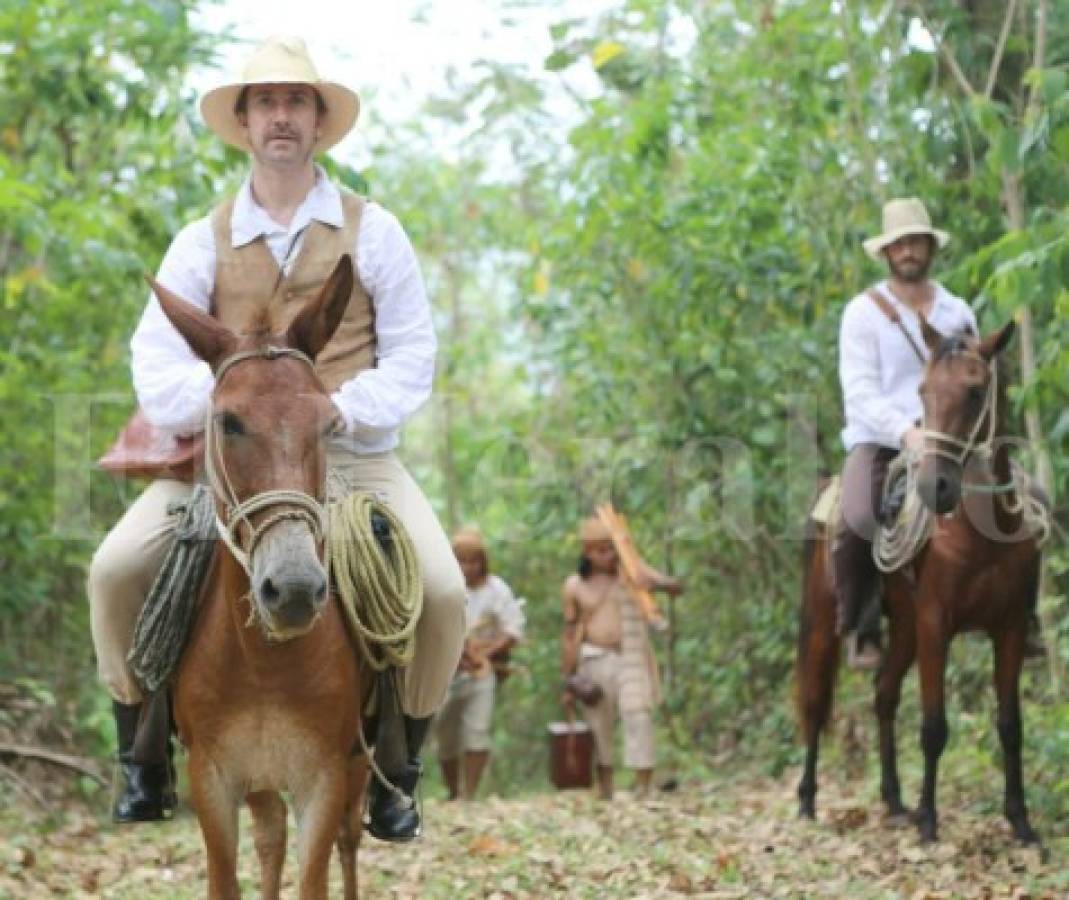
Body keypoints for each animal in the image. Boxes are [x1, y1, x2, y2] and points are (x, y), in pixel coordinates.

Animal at [148, 254, 369, 897]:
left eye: (331, 425)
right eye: (227, 422)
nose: (293, 589)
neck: (264, 663)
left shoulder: (323, 778)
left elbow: (317, 874)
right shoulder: (212, 778)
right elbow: (230, 876)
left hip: (356, 771)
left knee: (349, 841)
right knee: (271, 842)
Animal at [799, 318, 1039, 846]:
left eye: (975, 392)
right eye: (923, 391)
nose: (935, 488)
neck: (982, 536)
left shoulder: (1010, 627)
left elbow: (1011, 725)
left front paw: (1021, 821)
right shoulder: (936, 624)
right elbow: (933, 727)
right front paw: (930, 822)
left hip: (905, 628)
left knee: (884, 693)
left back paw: (894, 801)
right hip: (830, 620)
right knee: (816, 700)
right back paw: (806, 800)